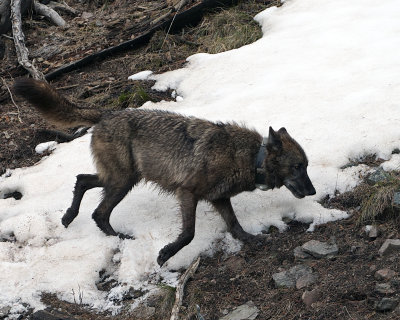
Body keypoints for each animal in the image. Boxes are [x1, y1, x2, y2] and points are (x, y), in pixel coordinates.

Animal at [12, 79, 318, 266]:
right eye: (299, 166)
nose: (314, 191)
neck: (250, 157)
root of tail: (105, 114)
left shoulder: (219, 199)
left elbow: (234, 224)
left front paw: (251, 240)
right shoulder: (188, 193)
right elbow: (189, 234)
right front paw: (165, 254)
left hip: (122, 179)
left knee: (82, 181)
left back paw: (69, 217)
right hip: (122, 182)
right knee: (98, 211)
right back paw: (119, 238)